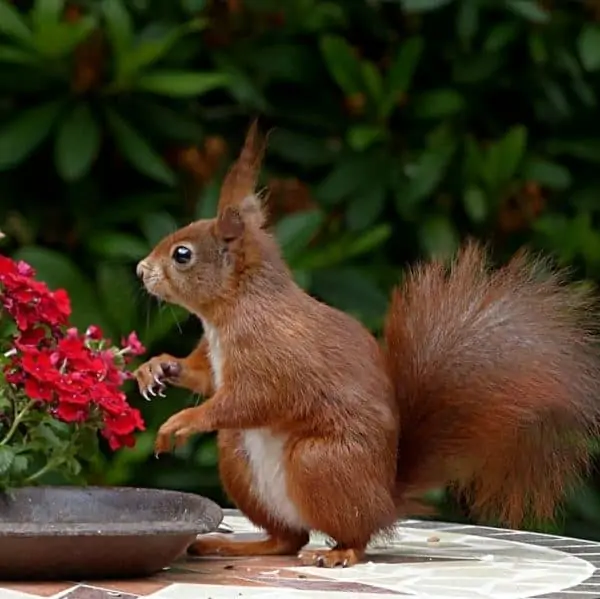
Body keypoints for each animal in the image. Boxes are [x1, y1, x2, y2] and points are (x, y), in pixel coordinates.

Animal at [134, 120, 600, 568]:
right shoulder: (215, 359)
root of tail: (384, 502)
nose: (140, 270)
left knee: (350, 534)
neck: (231, 310)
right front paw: (156, 368)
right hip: (238, 457)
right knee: (288, 538)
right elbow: (204, 378)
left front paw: (182, 421)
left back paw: (340, 552)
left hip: (320, 462)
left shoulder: (273, 354)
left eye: (182, 254)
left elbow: (250, 399)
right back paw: (234, 546)